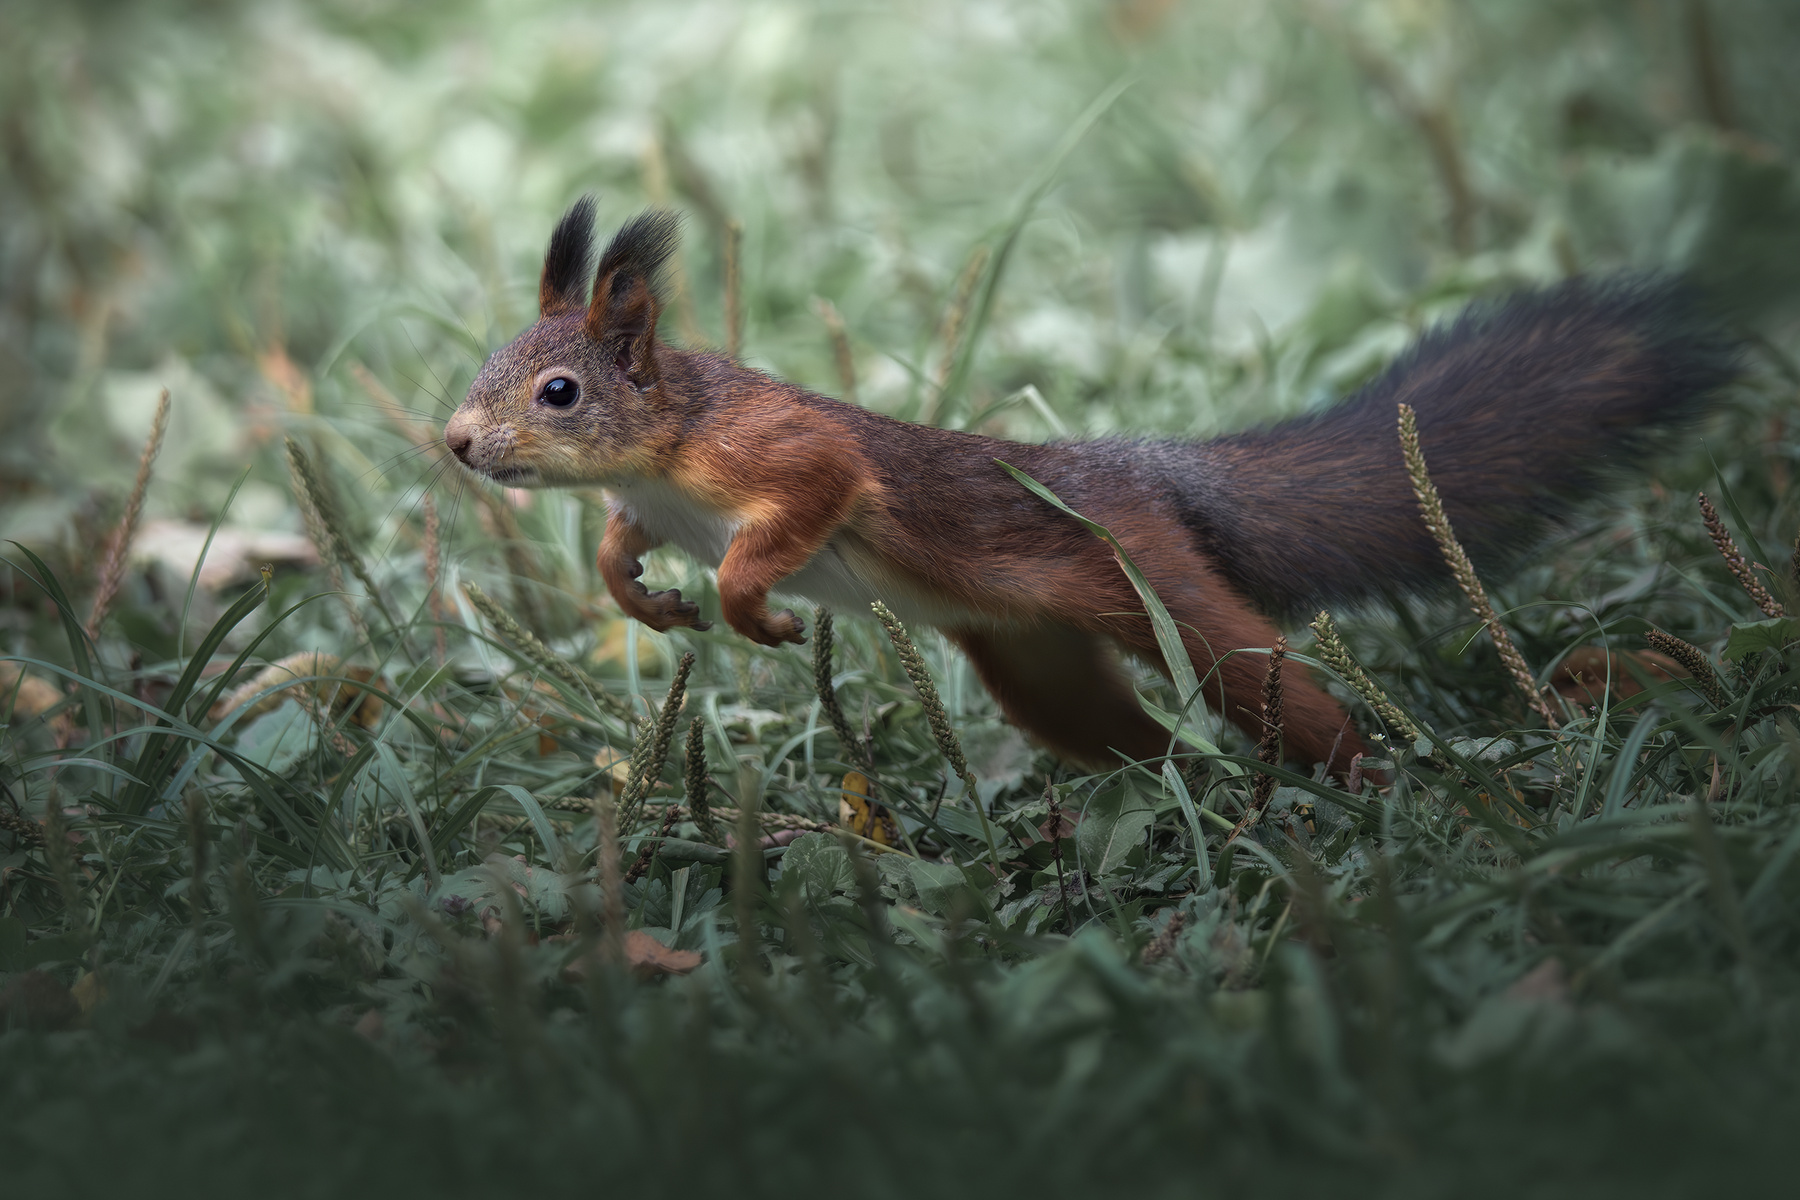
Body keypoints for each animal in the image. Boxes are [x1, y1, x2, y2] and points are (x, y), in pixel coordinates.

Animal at [443, 197, 1737, 778]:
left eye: (557, 391)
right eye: (486, 362)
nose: (456, 444)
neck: (667, 446)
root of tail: (1152, 474)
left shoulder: (777, 449)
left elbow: (812, 493)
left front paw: (751, 605)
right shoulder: (648, 500)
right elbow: (613, 544)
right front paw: (644, 597)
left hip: (1154, 586)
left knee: (1268, 682)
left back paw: (1371, 779)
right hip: (1038, 665)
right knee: (1124, 736)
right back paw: (1189, 789)